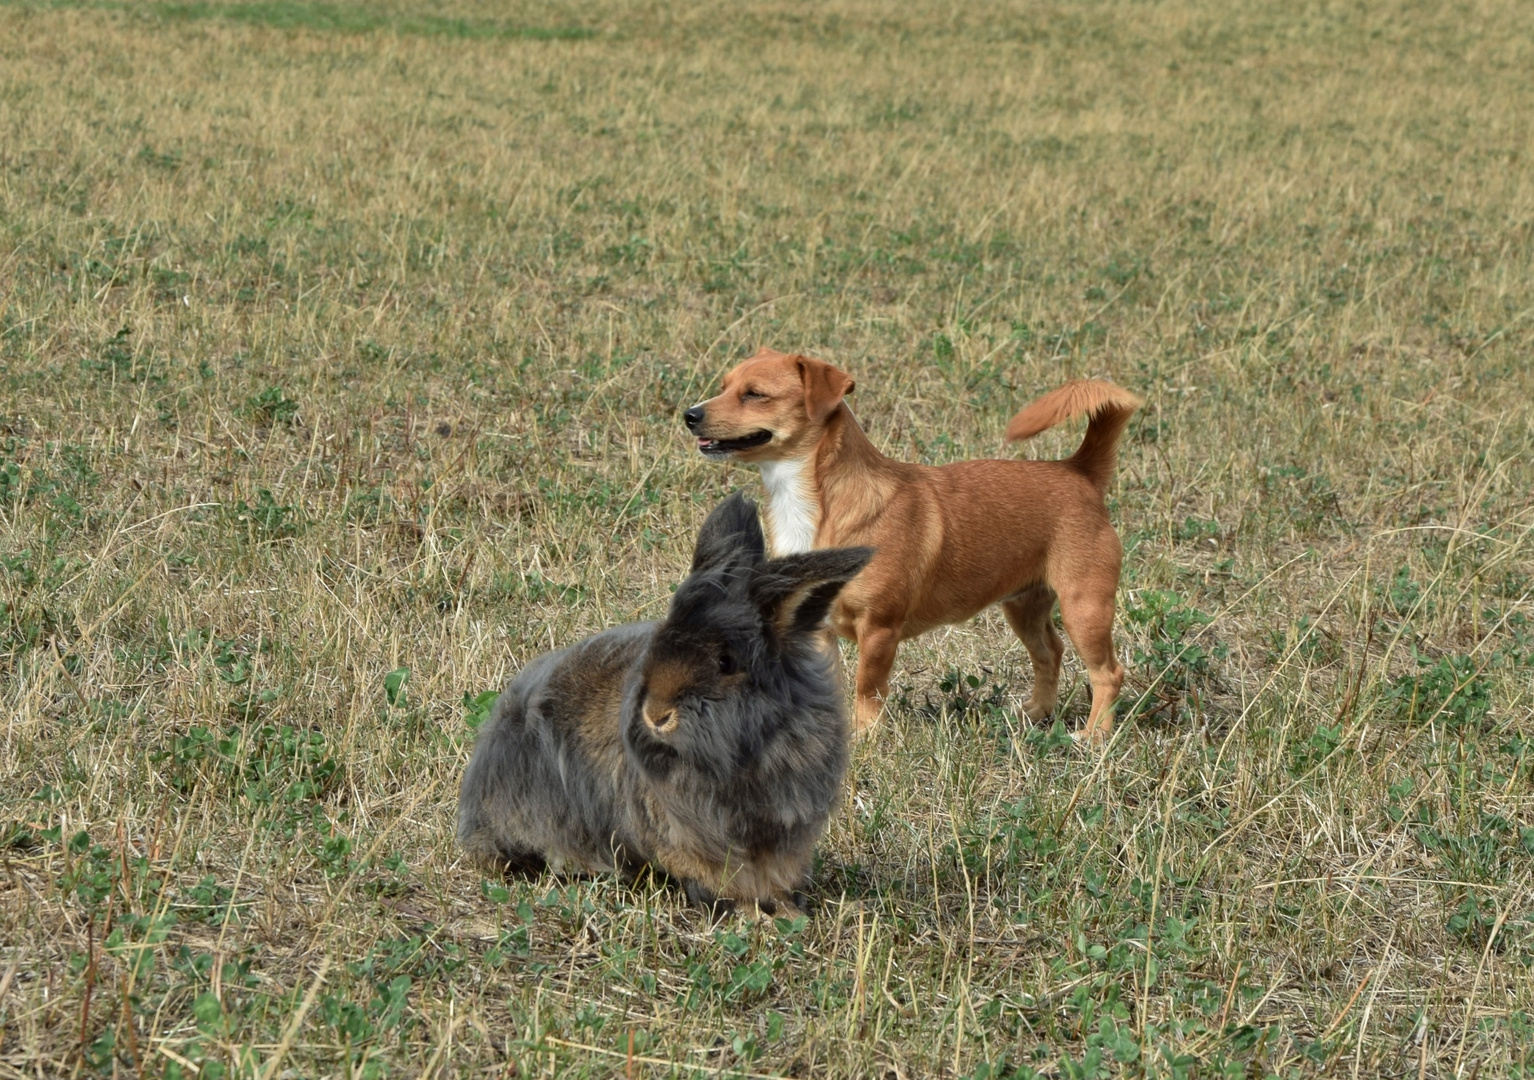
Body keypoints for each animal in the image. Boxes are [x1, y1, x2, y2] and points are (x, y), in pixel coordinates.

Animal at [454, 493, 871, 914]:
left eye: (726, 662)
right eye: (657, 646)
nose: (656, 715)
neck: (749, 753)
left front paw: (786, 910)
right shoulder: (688, 837)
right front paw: (747, 913)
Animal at [684, 349, 1141, 745]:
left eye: (754, 394)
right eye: (724, 386)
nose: (690, 415)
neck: (810, 506)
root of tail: (1079, 471)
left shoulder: (879, 629)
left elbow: (867, 689)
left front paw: (864, 737)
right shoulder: (815, 630)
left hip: (1085, 607)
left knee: (1107, 673)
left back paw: (1094, 736)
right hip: (1024, 605)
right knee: (1050, 652)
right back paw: (1038, 712)